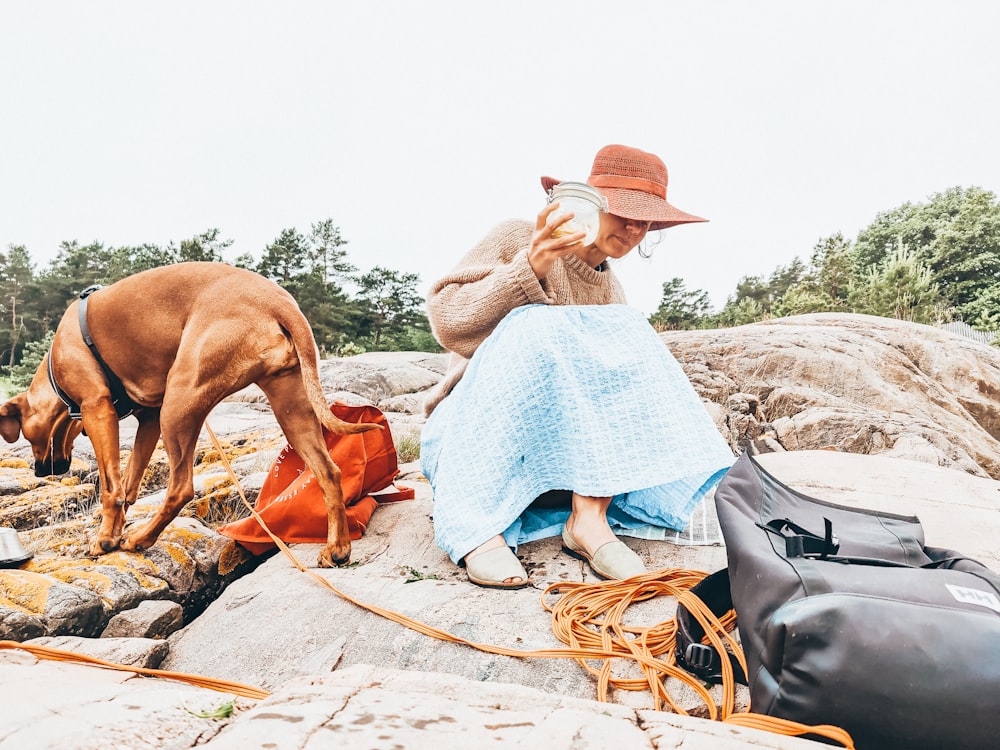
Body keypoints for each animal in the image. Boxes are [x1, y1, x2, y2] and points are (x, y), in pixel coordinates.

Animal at [0, 262, 378, 568]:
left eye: (26, 436)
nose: (40, 471)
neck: (56, 364)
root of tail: (279, 302)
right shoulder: (149, 420)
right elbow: (130, 486)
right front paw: (114, 530)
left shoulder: (99, 410)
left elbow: (111, 487)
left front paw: (105, 540)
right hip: (290, 405)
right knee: (328, 471)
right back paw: (338, 548)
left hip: (180, 400)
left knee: (181, 488)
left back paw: (142, 539)